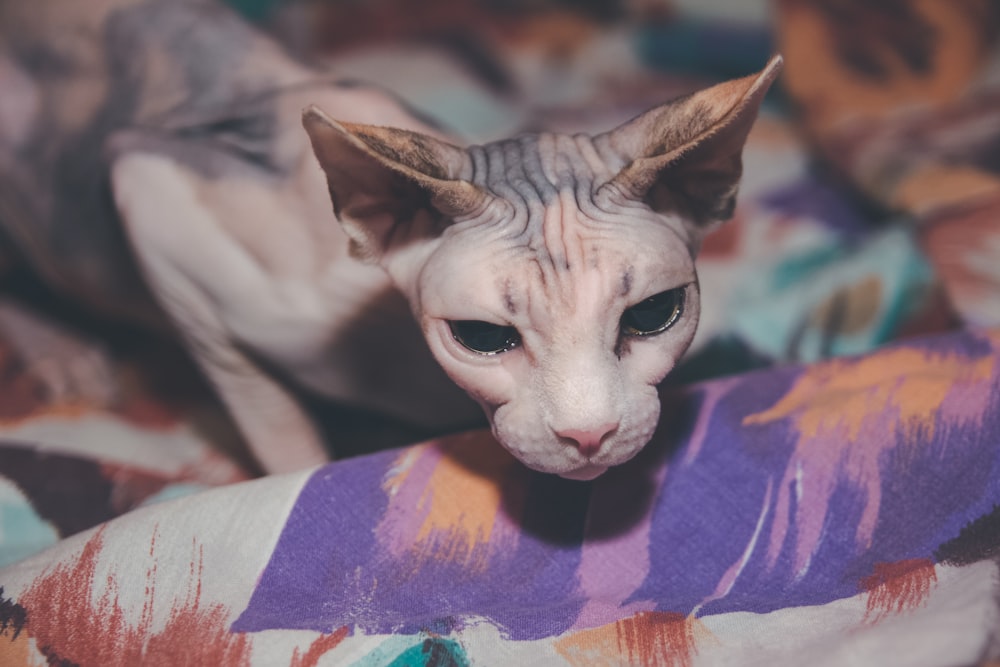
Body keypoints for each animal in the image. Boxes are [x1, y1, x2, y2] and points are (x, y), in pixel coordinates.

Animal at [0, 0, 780, 480]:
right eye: (482, 337)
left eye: (653, 315)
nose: (588, 436)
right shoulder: (151, 189)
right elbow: (267, 412)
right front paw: (300, 473)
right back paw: (59, 348)